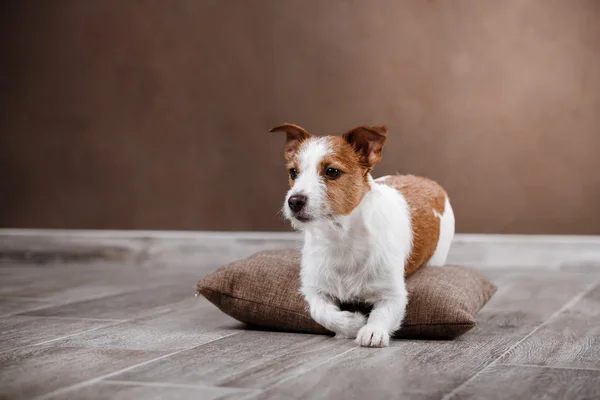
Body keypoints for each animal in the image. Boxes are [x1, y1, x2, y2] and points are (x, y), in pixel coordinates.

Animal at [272, 122, 454, 346]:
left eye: (332, 171)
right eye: (293, 172)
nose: (294, 201)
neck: (340, 238)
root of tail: (428, 181)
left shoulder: (394, 294)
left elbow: (382, 313)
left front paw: (372, 330)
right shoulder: (313, 289)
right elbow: (321, 312)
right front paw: (352, 323)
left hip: (437, 258)